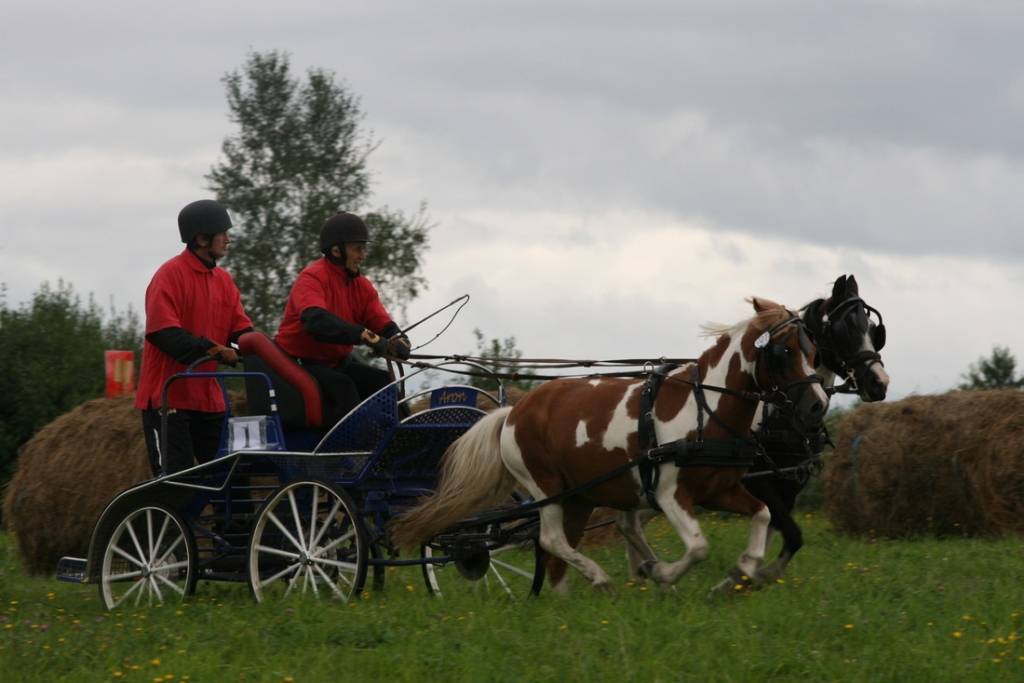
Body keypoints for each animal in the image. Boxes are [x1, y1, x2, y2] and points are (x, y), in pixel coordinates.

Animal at [391, 299, 831, 593]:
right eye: (785, 351)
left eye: (814, 351)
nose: (817, 405)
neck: (705, 408)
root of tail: (513, 411)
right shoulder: (671, 494)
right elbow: (699, 546)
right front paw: (662, 573)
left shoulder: (722, 490)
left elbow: (761, 517)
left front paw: (742, 573)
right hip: (546, 488)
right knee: (550, 541)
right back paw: (600, 579)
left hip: (580, 495)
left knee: (559, 551)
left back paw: (564, 599)